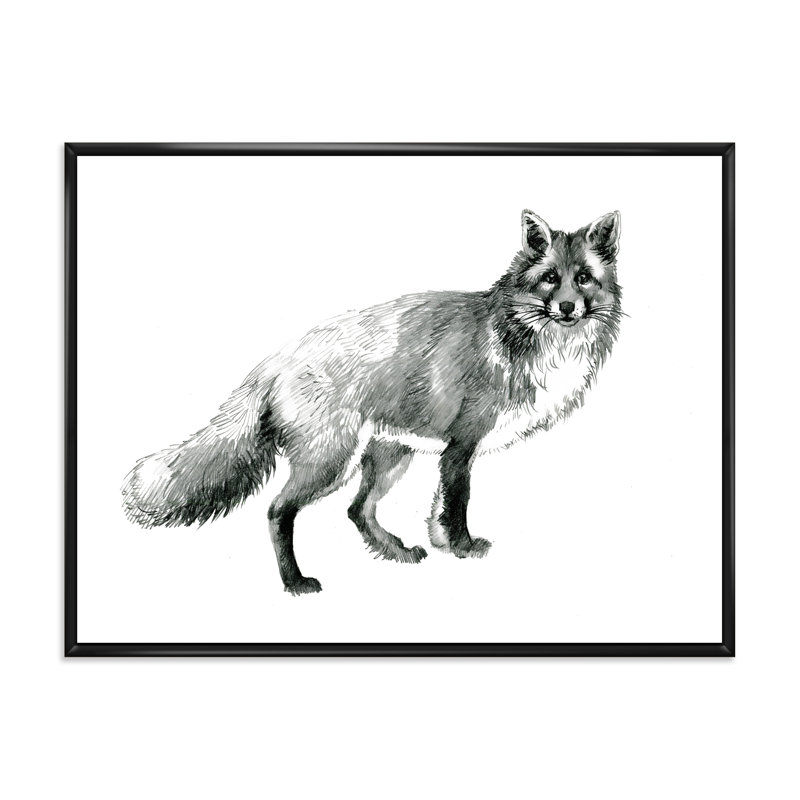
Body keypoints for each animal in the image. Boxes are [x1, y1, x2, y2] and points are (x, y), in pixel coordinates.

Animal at [122, 209, 622, 594]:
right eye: (550, 279)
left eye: (584, 279)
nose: (567, 309)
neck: (525, 339)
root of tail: (276, 359)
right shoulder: (462, 446)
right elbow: (457, 507)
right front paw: (463, 548)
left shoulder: (447, 453)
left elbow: (438, 511)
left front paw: (443, 546)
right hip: (331, 462)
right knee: (278, 511)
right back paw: (295, 583)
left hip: (388, 456)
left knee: (356, 510)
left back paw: (393, 552)